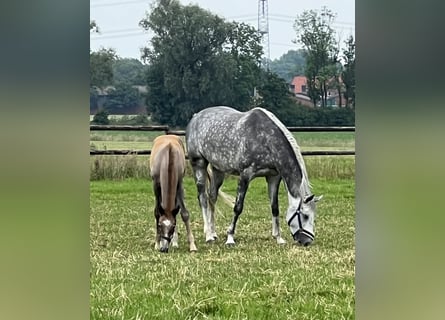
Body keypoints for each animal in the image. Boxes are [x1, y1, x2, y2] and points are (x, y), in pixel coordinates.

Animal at [186, 106, 320, 246]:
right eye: (305, 216)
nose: (307, 241)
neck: (265, 139)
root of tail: (195, 117)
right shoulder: (245, 175)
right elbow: (238, 207)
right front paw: (230, 238)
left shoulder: (273, 177)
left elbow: (275, 207)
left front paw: (278, 238)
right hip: (198, 164)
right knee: (203, 198)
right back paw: (208, 235)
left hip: (218, 169)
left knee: (212, 197)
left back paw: (213, 233)